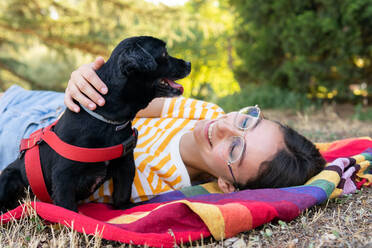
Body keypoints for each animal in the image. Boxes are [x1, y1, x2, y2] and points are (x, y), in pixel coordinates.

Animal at [0, 35, 190, 212]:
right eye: (164, 54)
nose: (188, 63)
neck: (107, 121)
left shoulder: (125, 165)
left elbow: (122, 193)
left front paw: (125, 208)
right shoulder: (63, 178)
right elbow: (68, 210)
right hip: (8, 177)